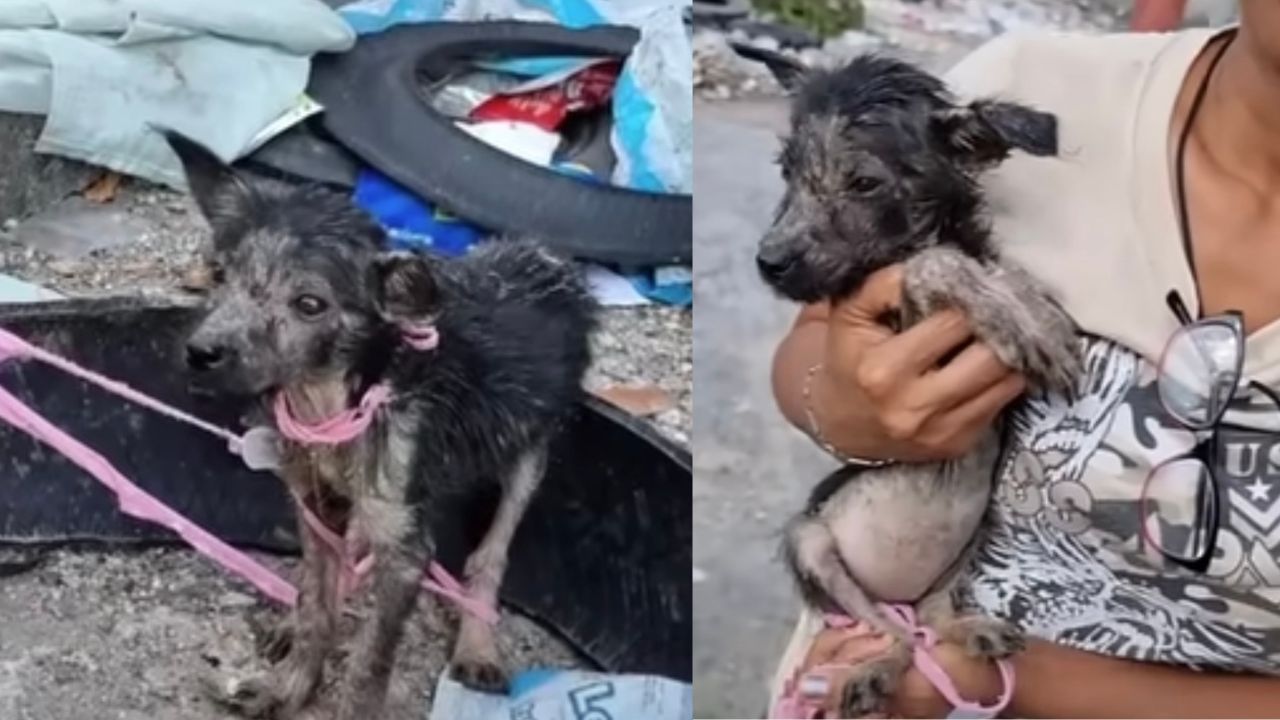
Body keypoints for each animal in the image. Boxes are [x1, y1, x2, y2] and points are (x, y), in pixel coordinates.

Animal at [163, 131, 593, 712]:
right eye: (221, 275)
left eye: (309, 304)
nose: (201, 354)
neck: (340, 401)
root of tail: (546, 259)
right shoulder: (314, 505)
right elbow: (318, 606)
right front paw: (289, 688)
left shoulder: (405, 550)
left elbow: (370, 662)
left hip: (529, 453)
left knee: (491, 553)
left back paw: (478, 646)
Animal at [752, 54, 1085, 712]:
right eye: (787, 172)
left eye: (864, 183)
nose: (769, 263)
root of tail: (897, 592)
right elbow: (936, 264)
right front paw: (1024, 319)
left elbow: (996, 270)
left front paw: (1038, 315)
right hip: (811, 544)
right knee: (889, 631)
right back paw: (872, 671)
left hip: (968, 542)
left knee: (929, 619)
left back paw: (968, 631)